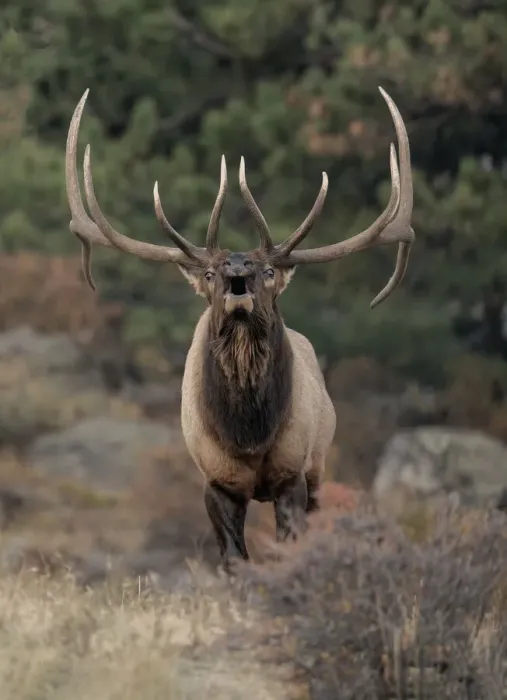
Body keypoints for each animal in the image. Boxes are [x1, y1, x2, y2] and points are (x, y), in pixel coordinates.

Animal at [64, 86, 414, 572]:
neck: (248, 434)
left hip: (320, 465)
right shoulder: (216, 480)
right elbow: (233, 560)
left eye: (267, 270)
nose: (236, 270)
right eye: (210, 274)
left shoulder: (293, 473)